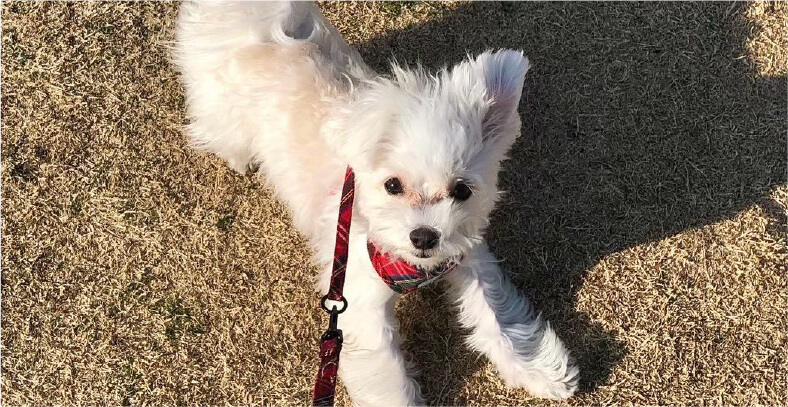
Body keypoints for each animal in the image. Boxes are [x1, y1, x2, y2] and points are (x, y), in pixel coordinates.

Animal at [174, 2, 580, 404]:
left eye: (462, 191)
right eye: (392, 185)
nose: (424, 236)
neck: (412, 266)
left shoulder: (466, 256)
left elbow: (497, 316)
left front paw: (537, 371)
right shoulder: (360, 305)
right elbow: (388, 376)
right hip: (222, 110)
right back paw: (238, 158)